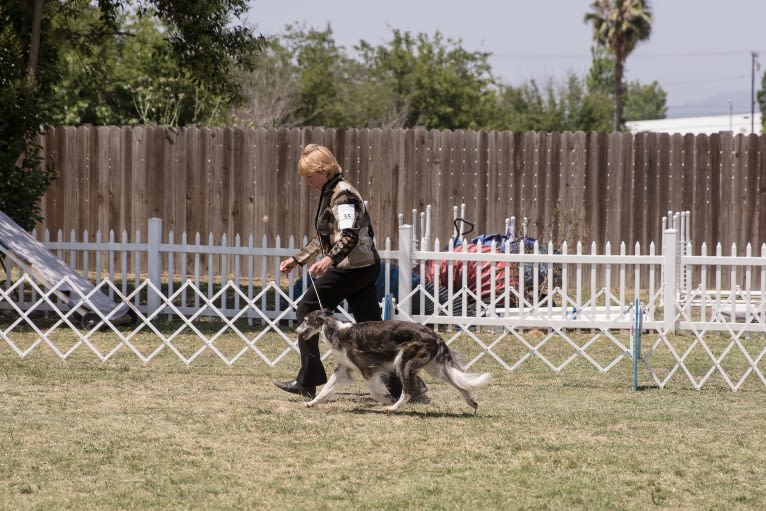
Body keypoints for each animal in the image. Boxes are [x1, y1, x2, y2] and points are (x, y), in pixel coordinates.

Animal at [294, 308, 492, 412]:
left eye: (305, 320)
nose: (296, 331)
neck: (336, 332)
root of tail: (435, 335)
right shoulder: (343, 368)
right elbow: (325, 389)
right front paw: (311, 403)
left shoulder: (368, 368)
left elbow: (374, 392)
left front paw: (387, 400)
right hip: (434, 367)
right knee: (460, 384)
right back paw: (471, 402)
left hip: (404, 361)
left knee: (409, 391)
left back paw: (393, 408)